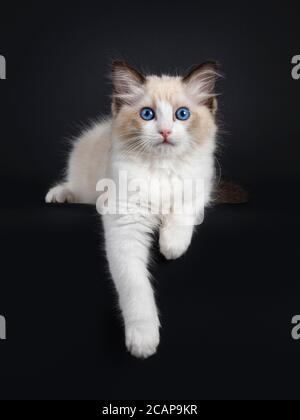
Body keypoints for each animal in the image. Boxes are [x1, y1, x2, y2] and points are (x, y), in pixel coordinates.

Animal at [46, 60, 244, 360]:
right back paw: (59, 195)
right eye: (147, 114)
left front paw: (171, 246)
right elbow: (135, 287)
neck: (161, 169)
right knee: (75, 187)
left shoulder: (201, 186)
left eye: (182, 114)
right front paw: (143, 340)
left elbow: (182, 212)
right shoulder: (124, 224)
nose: (164, 132)